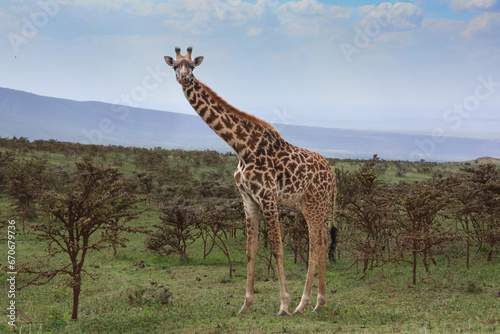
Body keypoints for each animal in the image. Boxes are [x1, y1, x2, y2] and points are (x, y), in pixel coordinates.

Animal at [164, 47, 336, 316]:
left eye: (192, 66)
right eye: (175, 66)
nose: (185, 78)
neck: (241, 146)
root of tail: (333, 174)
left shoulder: (268, 197)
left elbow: (276, 247)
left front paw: (283, 304)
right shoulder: (247, 198)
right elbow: (250, 250)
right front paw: (245, 304)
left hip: (316, 203)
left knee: (316, 243)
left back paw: (303, 304)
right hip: (308, 204)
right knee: (323, 240)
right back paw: (318, 302)